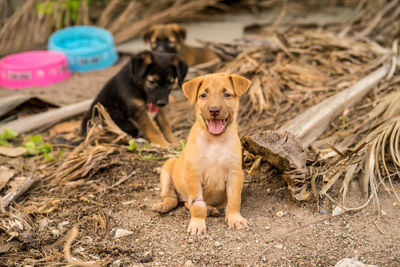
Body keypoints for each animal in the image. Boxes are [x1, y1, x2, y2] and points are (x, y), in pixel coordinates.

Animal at [152, 73, 250, 234]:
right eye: (203, 95)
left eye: (227, 94)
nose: (214, 110)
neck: (215, 141)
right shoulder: (193, 175)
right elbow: (197, 204)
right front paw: (197, 224)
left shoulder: (235, 174)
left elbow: (234, 200)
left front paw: (235, 219)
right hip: (167, 171)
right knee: (173, 199)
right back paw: (163, 206)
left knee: (186, 203)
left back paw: (210, 209)